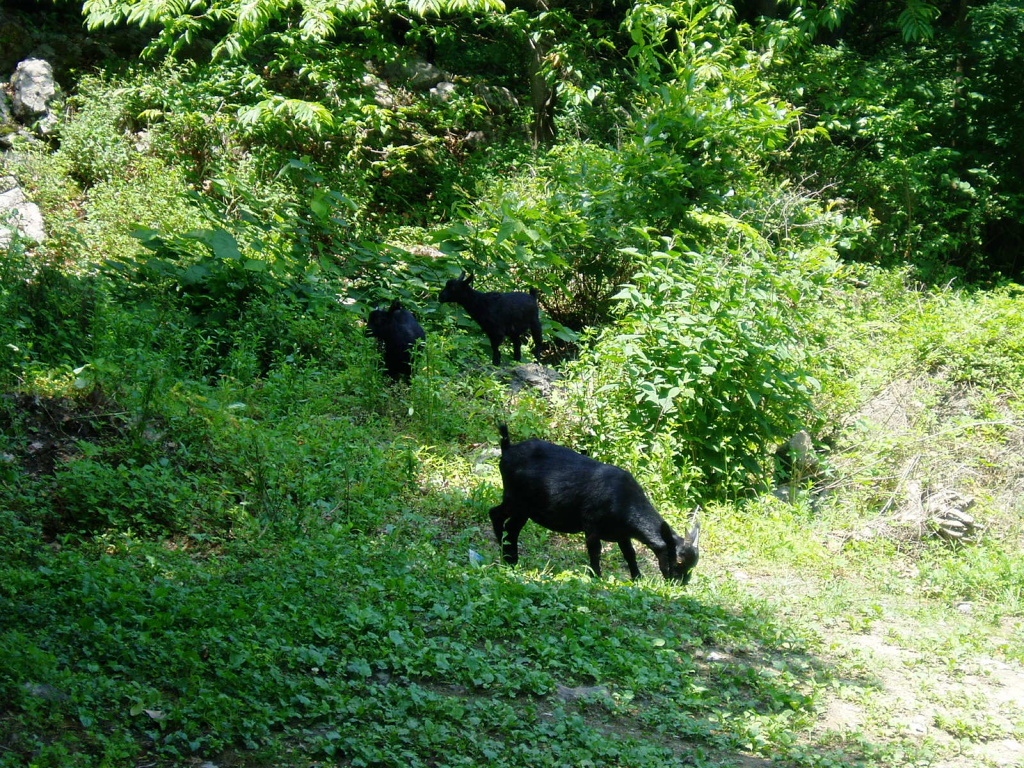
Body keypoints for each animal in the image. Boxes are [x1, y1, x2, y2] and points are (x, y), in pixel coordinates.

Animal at [489, 428, 700, 581]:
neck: (623, 500)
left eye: (693, 565)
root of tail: (507, 448)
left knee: (512, 528)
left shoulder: (622, 534)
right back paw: (502, 552)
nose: (680, 583)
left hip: (525, 509)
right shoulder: (591, 525)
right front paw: (597, 577)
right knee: (495, 514)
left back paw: (512, 559)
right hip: (514, 499)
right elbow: (595, 552)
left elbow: (630, 554)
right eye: (678, 562)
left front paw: (637, 578)